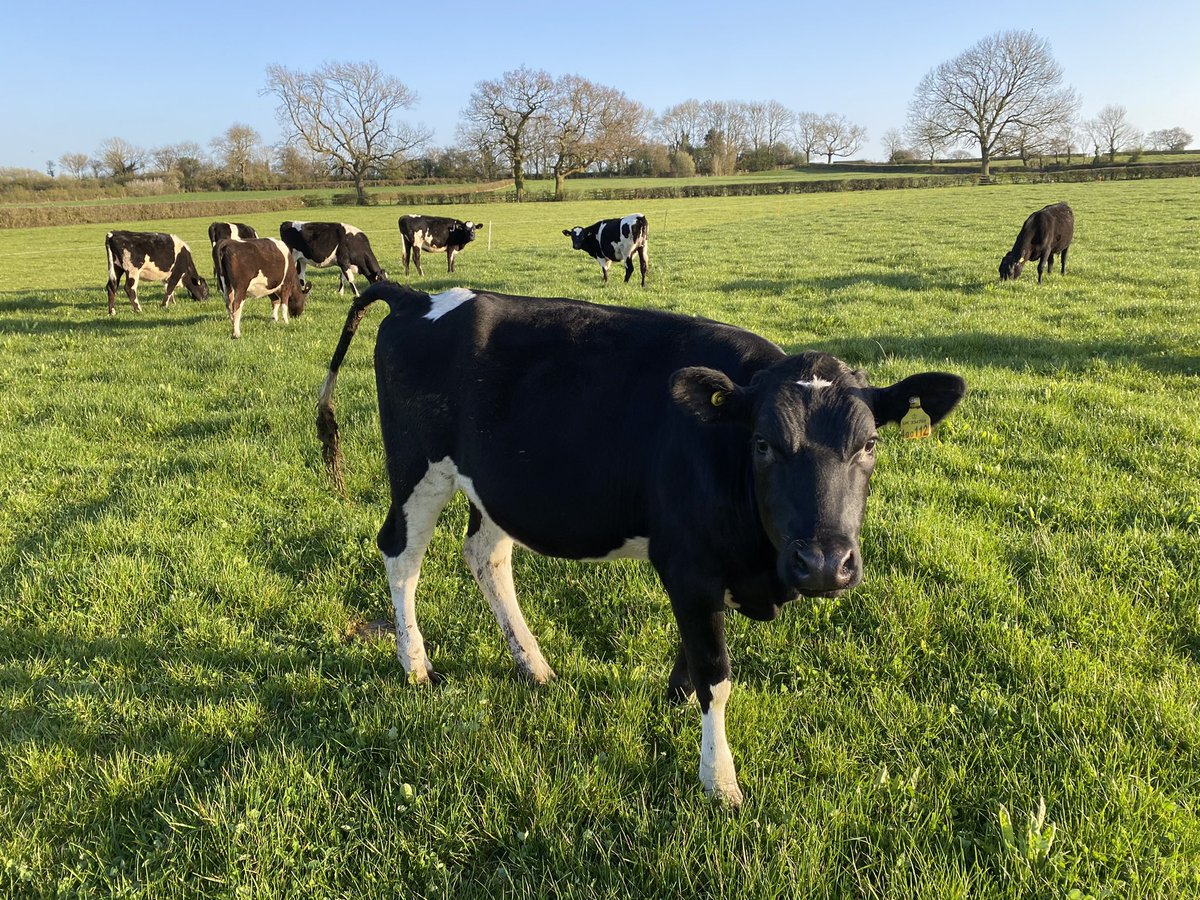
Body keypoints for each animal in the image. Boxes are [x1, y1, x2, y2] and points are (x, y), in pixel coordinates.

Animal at [315, 283, 966, 807]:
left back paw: (534, 665)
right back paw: (416, 666)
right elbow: (716, 673)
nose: (825, 564)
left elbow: (696, 657)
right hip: (417, 467)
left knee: (485, 556)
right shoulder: (688, 562)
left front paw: (675, 701)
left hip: (498, 486)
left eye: (869, 444)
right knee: (401, 555)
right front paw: (720, 781)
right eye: (762, 444)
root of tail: (416, 297)